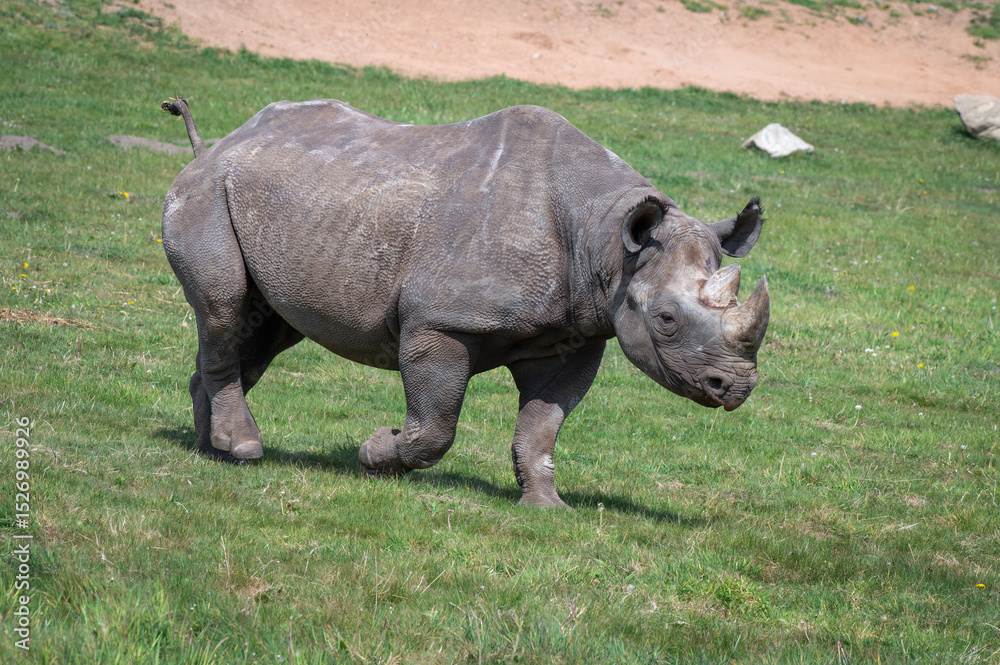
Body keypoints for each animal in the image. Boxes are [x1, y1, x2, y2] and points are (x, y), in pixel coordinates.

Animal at [161, 97, 769, 507]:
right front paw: (375, 452)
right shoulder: (441, 323)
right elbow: (435, 428)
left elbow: (543, 424)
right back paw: (243, 448)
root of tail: (216, 145)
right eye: (665, 319)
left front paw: (546, 507)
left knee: (265, 327)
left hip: (289, 205)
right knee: (223, 305)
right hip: (204, 193)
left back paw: (209, 450)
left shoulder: (575, 333)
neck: (607, 239)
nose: (735, 388)